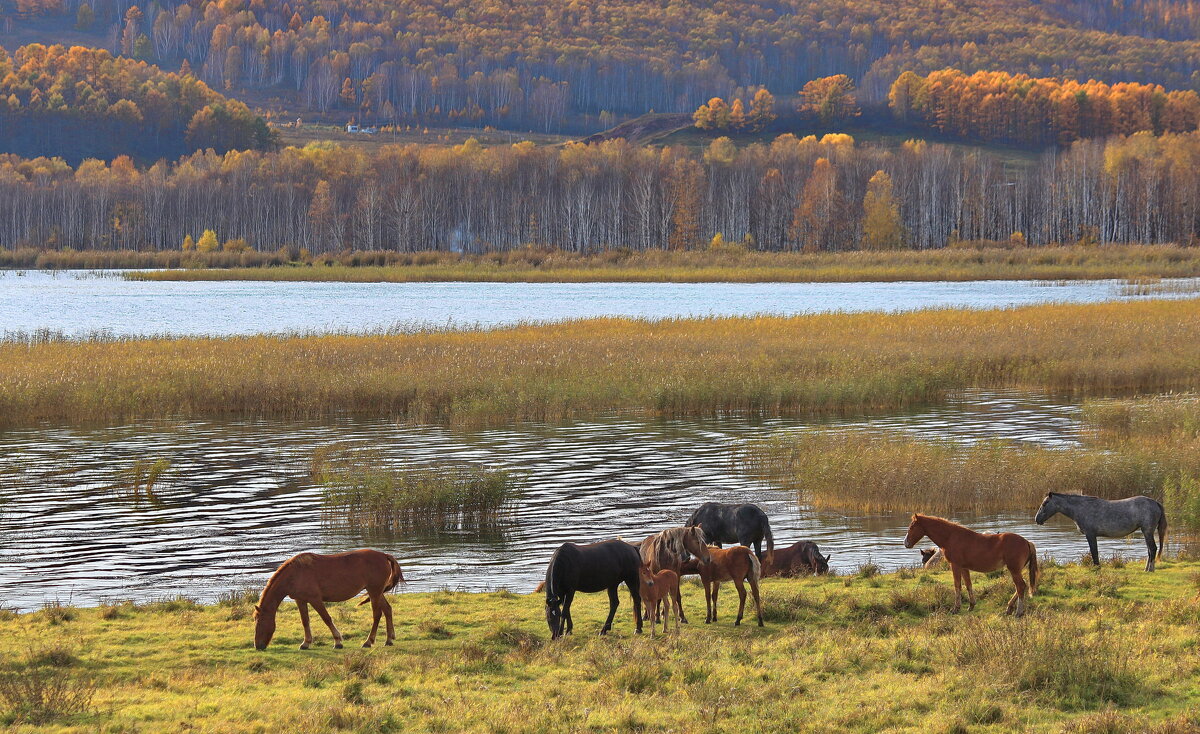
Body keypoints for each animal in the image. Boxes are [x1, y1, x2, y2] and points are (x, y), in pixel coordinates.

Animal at [253, 546, 403, 652]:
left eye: (259, 623)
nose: (257, 646)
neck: (296, 573)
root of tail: (384, 556)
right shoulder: (300, 600)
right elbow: (305, 621)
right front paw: (306, 643)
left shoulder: (315, 599)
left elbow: (326, 619)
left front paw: (338, 642)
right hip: (377, 592)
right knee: (387, 610)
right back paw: (389, 640)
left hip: (374, 592)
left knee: (377, 614)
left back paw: (368, 641)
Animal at [902, 515, 1036, 618]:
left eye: (912, 526)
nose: (906, 543)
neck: (951, 537)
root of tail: (1026, 542)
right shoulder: (964, 567)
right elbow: (968, 585)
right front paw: (971, 605)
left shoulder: (955, 565)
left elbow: (957, 586)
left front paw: (955, 608)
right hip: (1015, 570)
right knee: (1021, 586)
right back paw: (1009, 608)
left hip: (1014, 570)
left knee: (1020, 586)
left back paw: (1018, 612)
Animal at [1036, 494, 1166, 573]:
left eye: (1045, 503)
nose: (1037, 519)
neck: (1081, 508)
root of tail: (1155, 503)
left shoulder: (1090, 535)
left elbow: (1094, 552)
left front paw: (1096, 567)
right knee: (1149, 550)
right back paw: (1146, 569)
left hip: (1147, 531)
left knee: (1153, 549)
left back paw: (1150, 569)